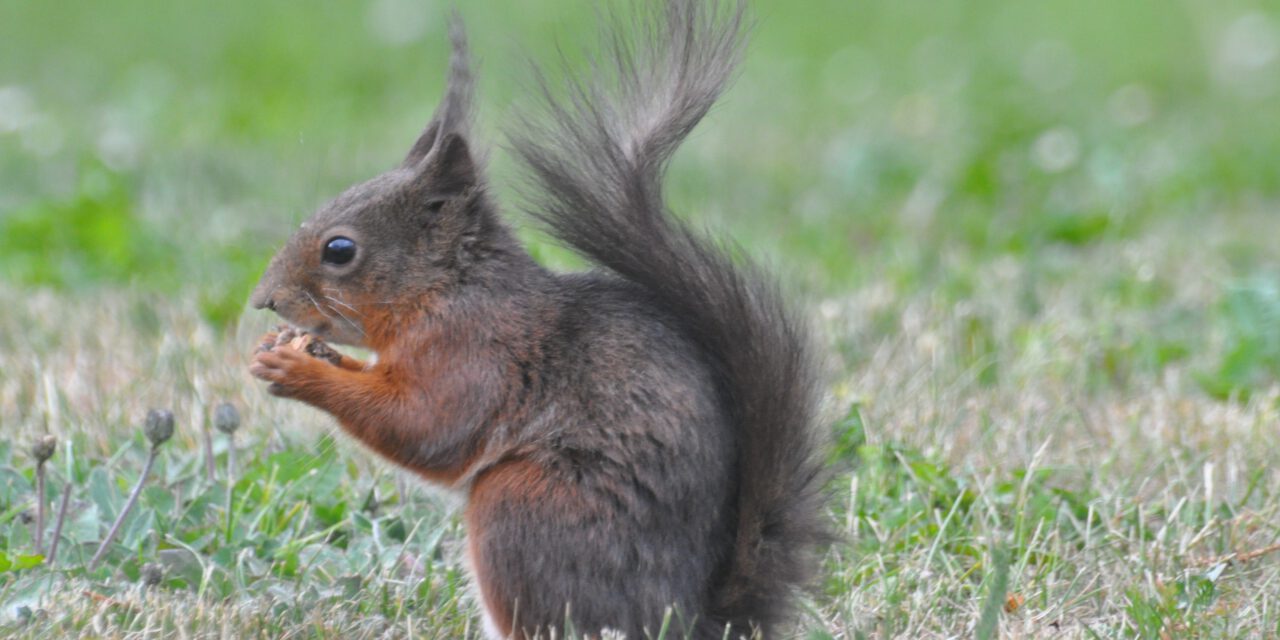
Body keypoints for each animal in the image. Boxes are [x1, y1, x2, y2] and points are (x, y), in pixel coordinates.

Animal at [247, 2, 829, 637]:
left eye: (340, 250)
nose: (264, 301)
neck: (449, 289)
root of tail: (691, 617)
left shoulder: (476, 354)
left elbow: (427, 427)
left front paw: (298, 372)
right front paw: (301, 350)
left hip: (523, 508)